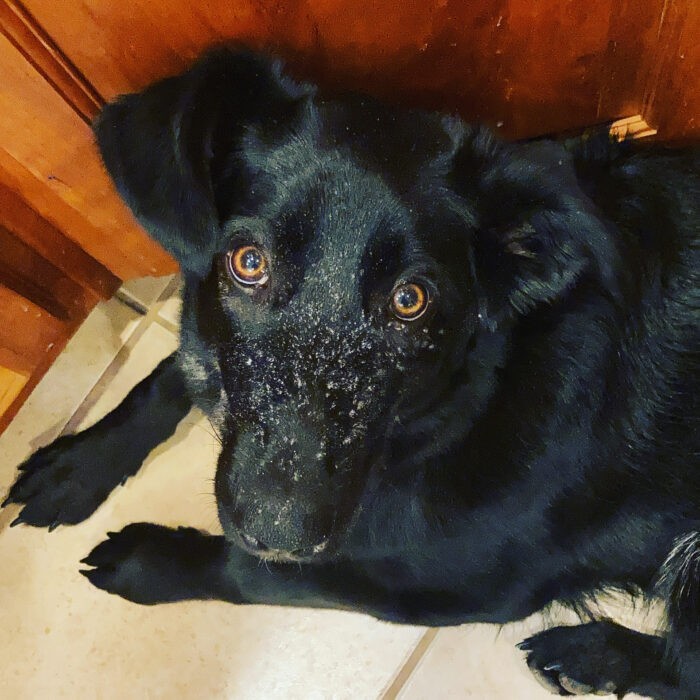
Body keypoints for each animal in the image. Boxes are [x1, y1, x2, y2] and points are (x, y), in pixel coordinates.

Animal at [2, 47, 696, 696]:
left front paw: (151, 558)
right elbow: (173, 368)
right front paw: (81, 461)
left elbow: (255, 572)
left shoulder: (458, 583)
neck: (471, 394)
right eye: (247, 261)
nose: (278, 528)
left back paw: (591, 653)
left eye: (411, 299)